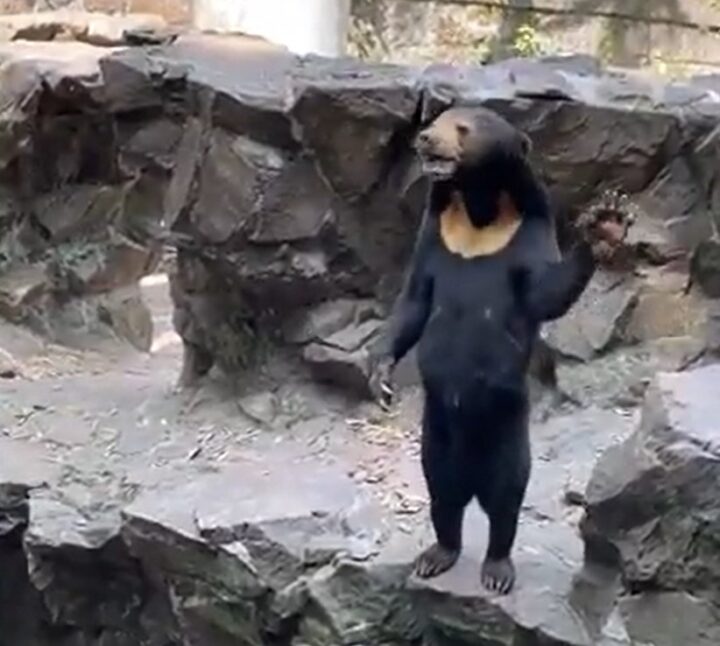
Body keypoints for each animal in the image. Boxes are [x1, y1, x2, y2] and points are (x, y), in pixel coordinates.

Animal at [369, 105, 630, 594]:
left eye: (462, 128)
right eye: (437, 118)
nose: (425, 138)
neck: (479, 210)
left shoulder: (525, 232)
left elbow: (546, 291)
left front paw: (606, 222)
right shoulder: (437, 232)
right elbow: (415, 299)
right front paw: (380, 378)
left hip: (507, 430)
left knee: (506, 498)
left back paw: (496, 568)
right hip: (436, 436)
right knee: (443, 494)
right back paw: (437, 554)